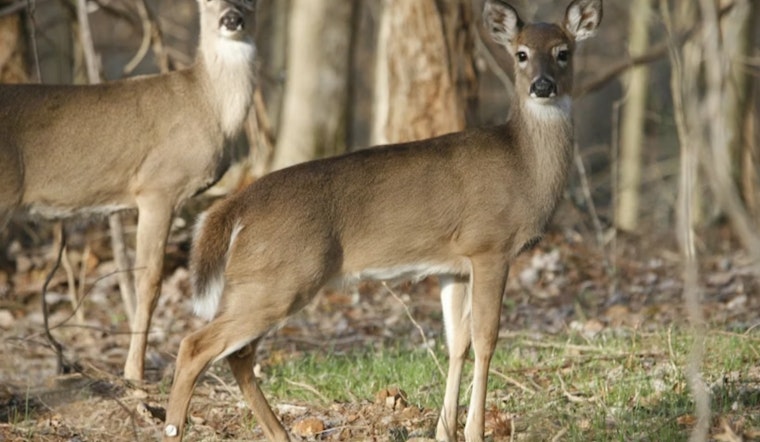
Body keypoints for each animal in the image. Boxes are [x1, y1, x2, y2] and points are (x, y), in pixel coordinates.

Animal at [0, 0, 258, 382]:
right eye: (207, 2)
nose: (231, 18)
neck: (208, 105)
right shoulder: (158, 186)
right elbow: (149, 282)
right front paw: (134, 372)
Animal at [163, 0, 602, 440]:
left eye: (563, 52)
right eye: (521, 54)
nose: (542, 86)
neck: (524, 167)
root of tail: (236, 205)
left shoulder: (455, 264)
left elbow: (456, 341)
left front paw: (444, 431)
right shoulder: (490, 245)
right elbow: (486, 339)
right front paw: (475, 431)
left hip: (260, 281)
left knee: (237, 354)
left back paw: (279, 432)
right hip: (280, 278)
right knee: (196, 346)